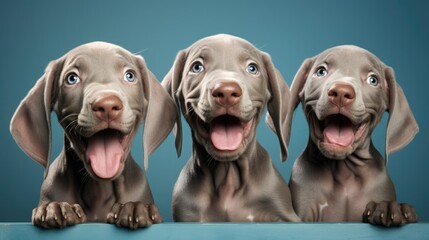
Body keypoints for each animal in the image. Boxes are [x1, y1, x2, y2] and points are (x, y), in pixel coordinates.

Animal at [10, 41, 177, 229]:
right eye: (72, 78)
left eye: (130, 76)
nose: (107, 105)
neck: (99, 190)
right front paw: (55, 208)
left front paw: (135, 208)